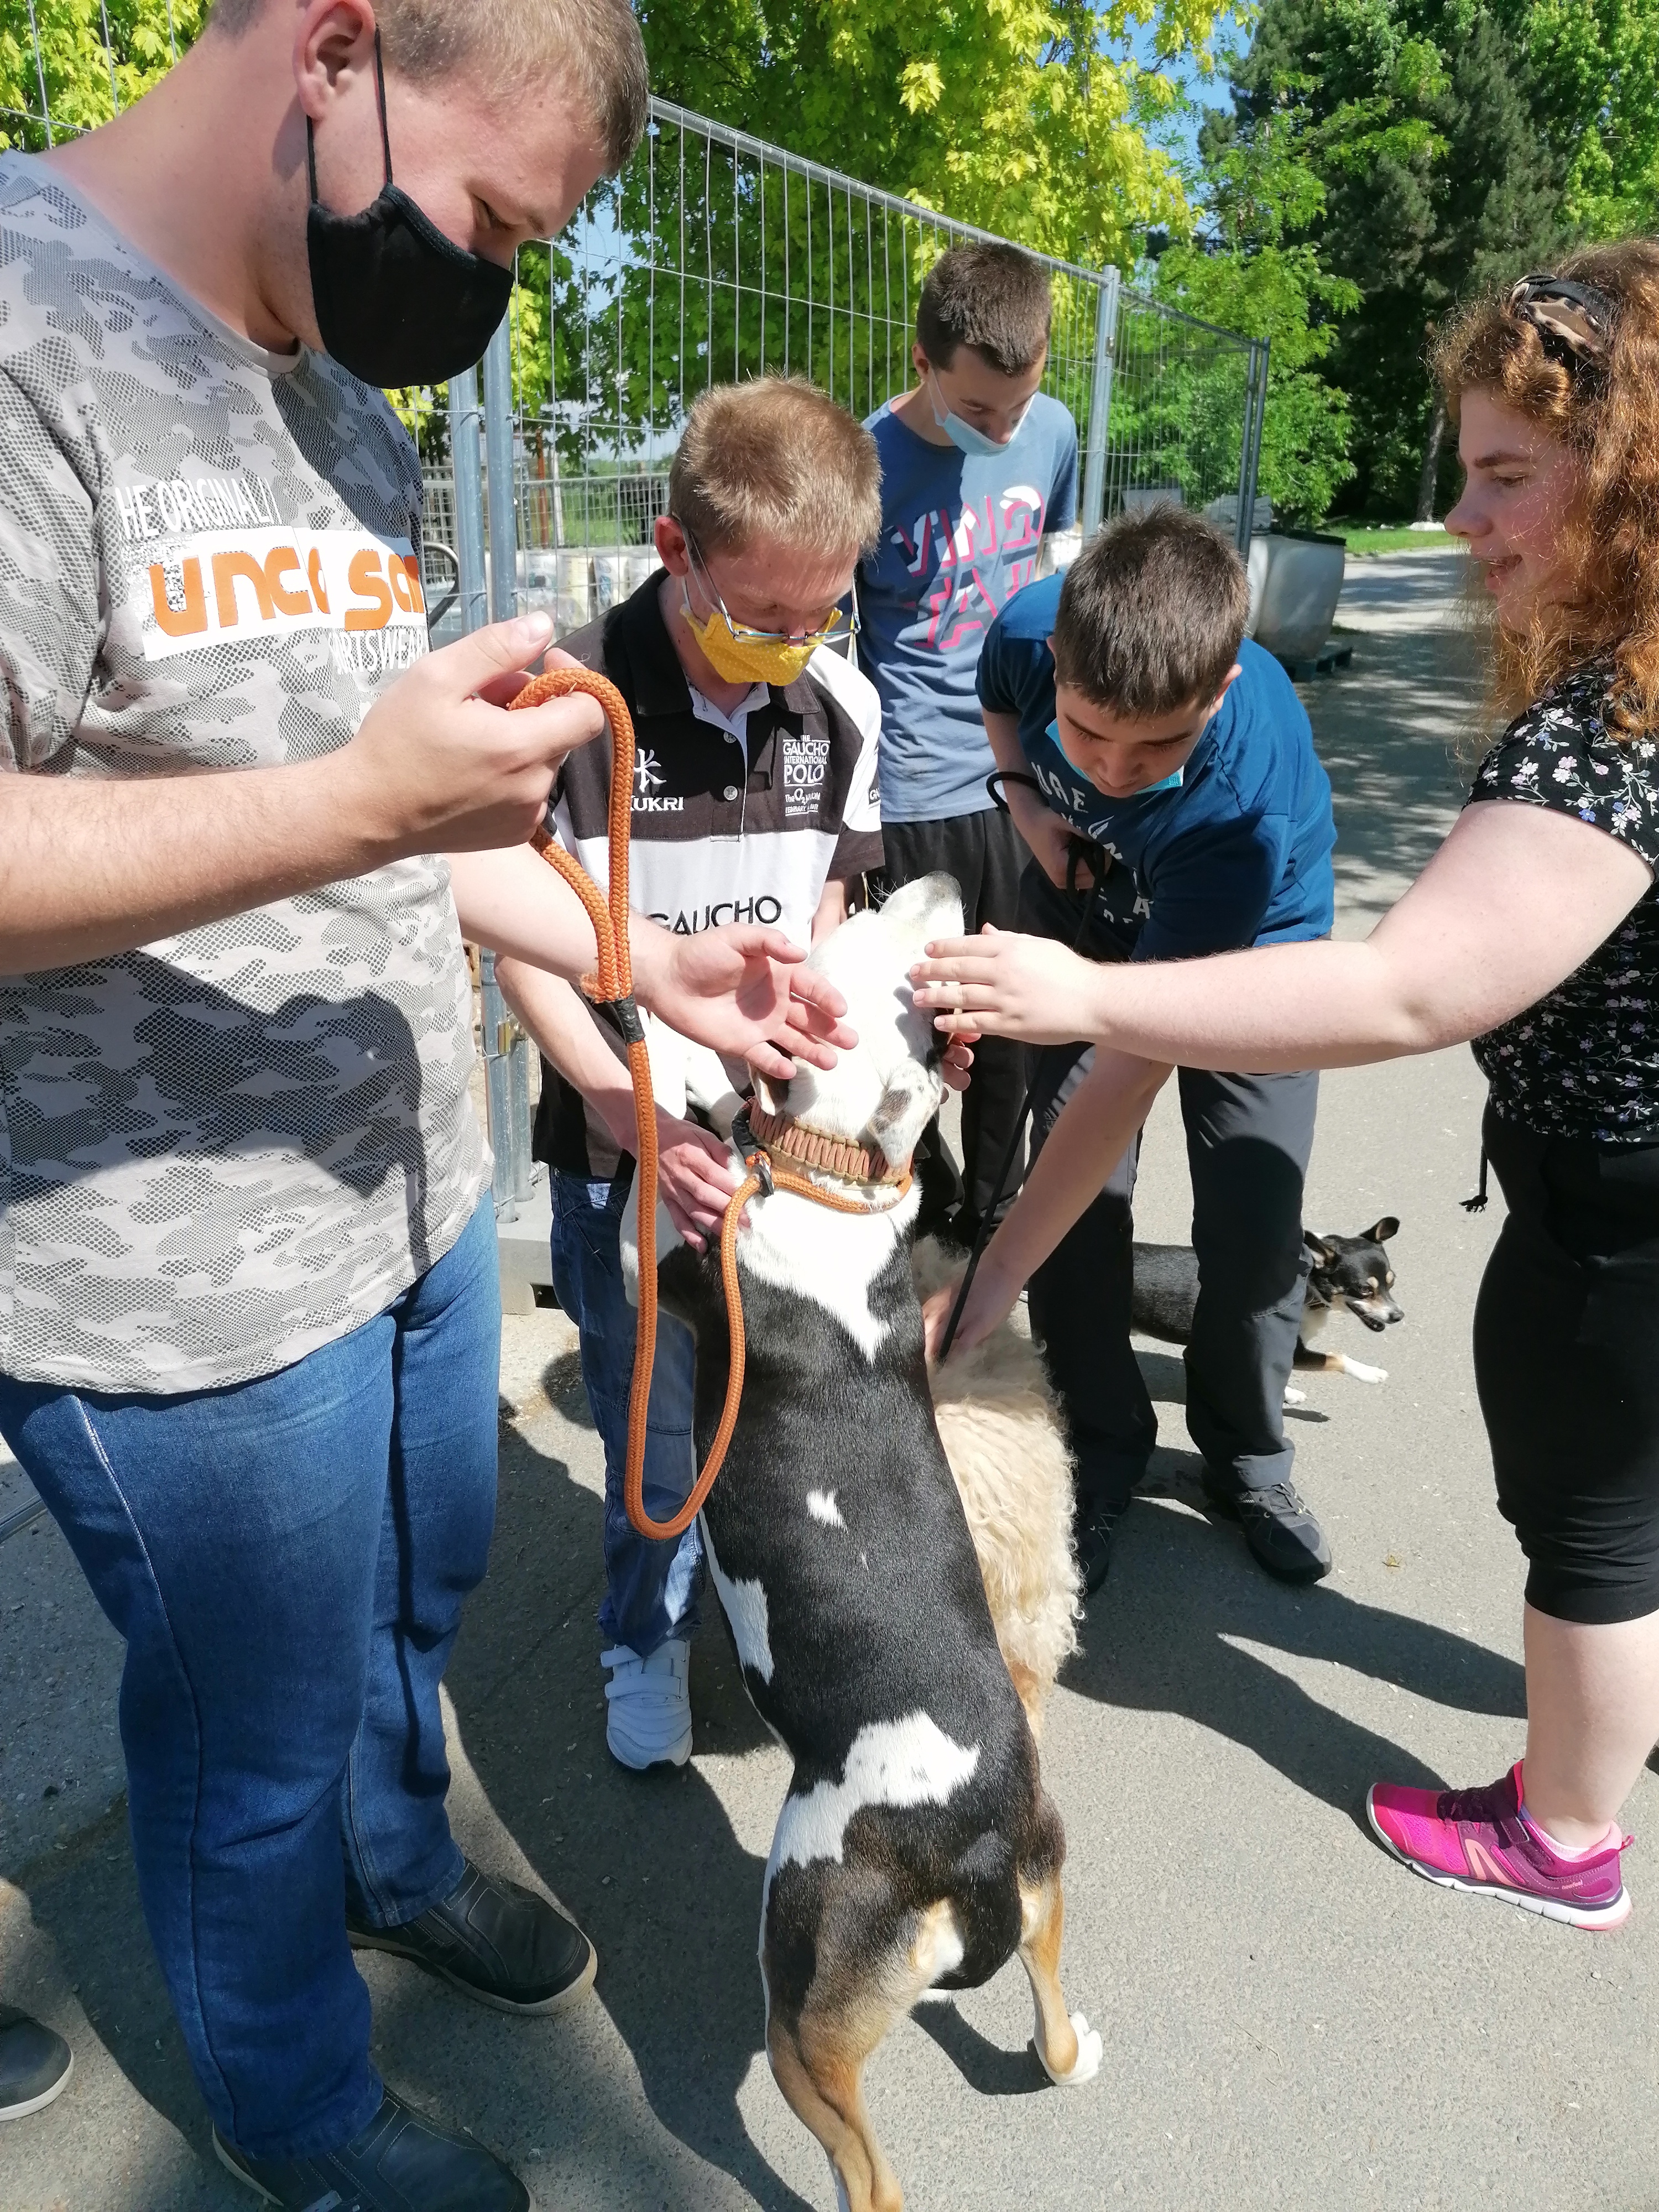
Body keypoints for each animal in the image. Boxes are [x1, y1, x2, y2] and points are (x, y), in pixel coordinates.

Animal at [626, 874, 1098, 2212]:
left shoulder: (665, 1272)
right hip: (1046, 1878)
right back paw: (1076, 2047)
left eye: (877, 953)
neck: (831, 1174)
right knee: (1050, 2029)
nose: (936, 883)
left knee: (867, 2176)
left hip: (802, 1996)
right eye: (919, 999)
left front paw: (677, 1041)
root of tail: (975, 1846)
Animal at [1131, 1217, 1403, 1391]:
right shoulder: (1295, 1352)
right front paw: (1370, 1373)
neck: (1307, 1287)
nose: (1398, 1316)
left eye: (1391, 1283)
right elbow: (1337, 1357)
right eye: (1365, 1290)